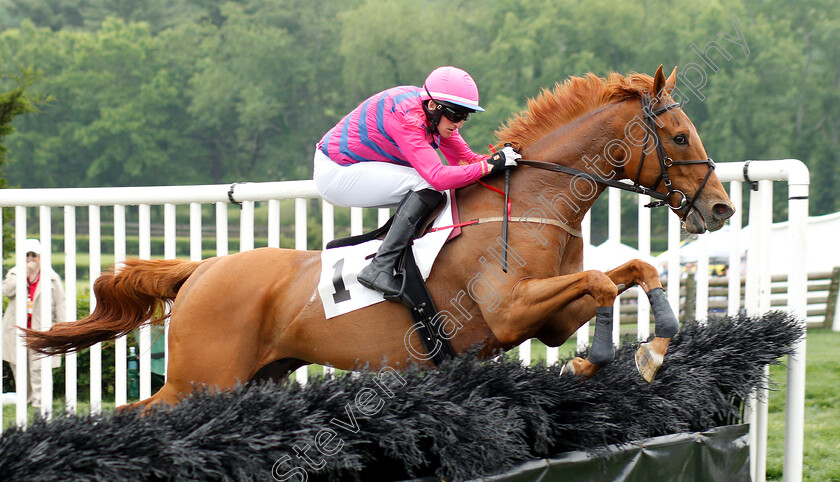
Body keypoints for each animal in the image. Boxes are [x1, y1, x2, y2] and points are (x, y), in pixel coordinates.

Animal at [26, 66, 736, 408]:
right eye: (679, 137)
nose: (722, 207)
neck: (534, 201)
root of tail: (199, 271)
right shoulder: (509, 311)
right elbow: (601, 281)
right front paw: (609, 358)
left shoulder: (547, 316)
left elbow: (631, 272)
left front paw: (645, 350)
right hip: (203, 377)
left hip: (255, 376)